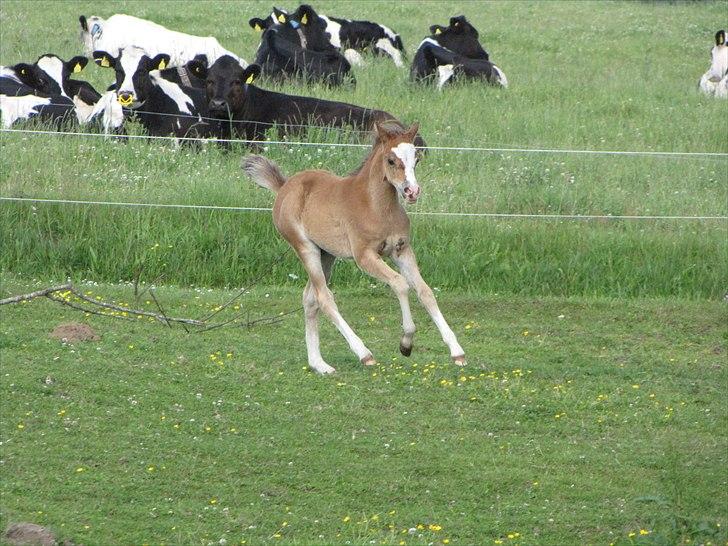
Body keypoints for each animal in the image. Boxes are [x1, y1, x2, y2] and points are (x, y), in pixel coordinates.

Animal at [242, 121, 466, 374]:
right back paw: (363, 353)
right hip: (306, 248)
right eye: (391, 160)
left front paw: (457, 352)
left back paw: (319, 364)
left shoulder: (402, 251)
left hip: (326, 254)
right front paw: (406, 343)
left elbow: (425, 291)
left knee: (310, 299)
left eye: (416, 159)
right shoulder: (364, 256)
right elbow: (400, 283)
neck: (377, 206)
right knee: (324, 298)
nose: (412, 191)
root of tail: (284, 186)